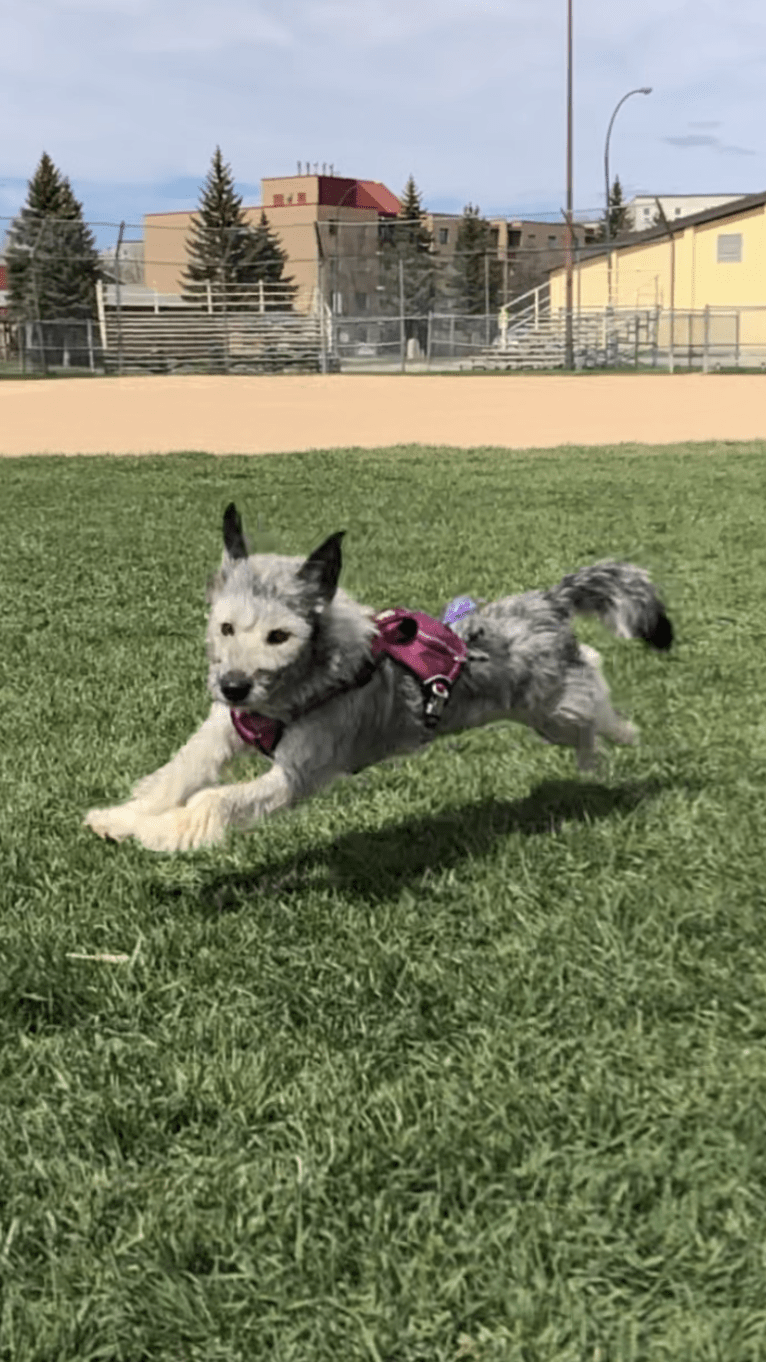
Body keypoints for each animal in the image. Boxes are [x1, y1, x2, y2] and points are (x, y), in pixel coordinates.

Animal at [82, 506, 667, 855]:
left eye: (279, 636)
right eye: (225, 627)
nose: (232, 688)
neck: (294, 690)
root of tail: (547, 600)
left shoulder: (297, 773)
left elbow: (213, 801)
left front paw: (159, 832)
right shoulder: (220, 734)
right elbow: (176, 776)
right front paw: (120, 818)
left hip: (550, 706)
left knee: (591, 684)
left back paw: (619, 737)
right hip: (548, 714)